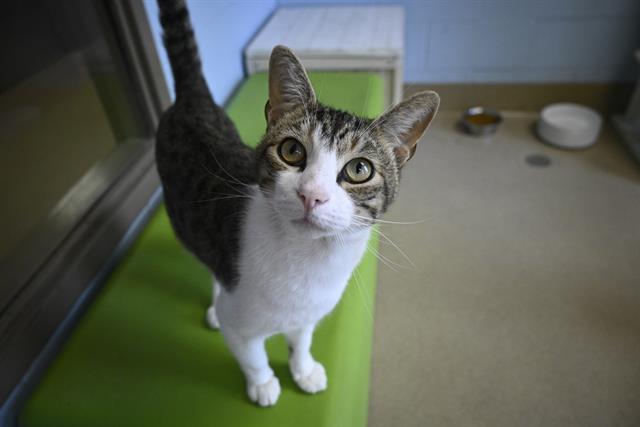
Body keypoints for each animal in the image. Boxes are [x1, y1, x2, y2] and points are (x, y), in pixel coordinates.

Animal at [154, 0, 438, 408]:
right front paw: (262, 383)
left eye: (359, 169)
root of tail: (193, 102)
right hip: (185, 221)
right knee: (208, 261)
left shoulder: (310, 312)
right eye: (291, 150)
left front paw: (303, 369)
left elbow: (302, 338)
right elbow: (251, 353)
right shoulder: (240, 321)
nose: (311, 195)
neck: (309, 260)